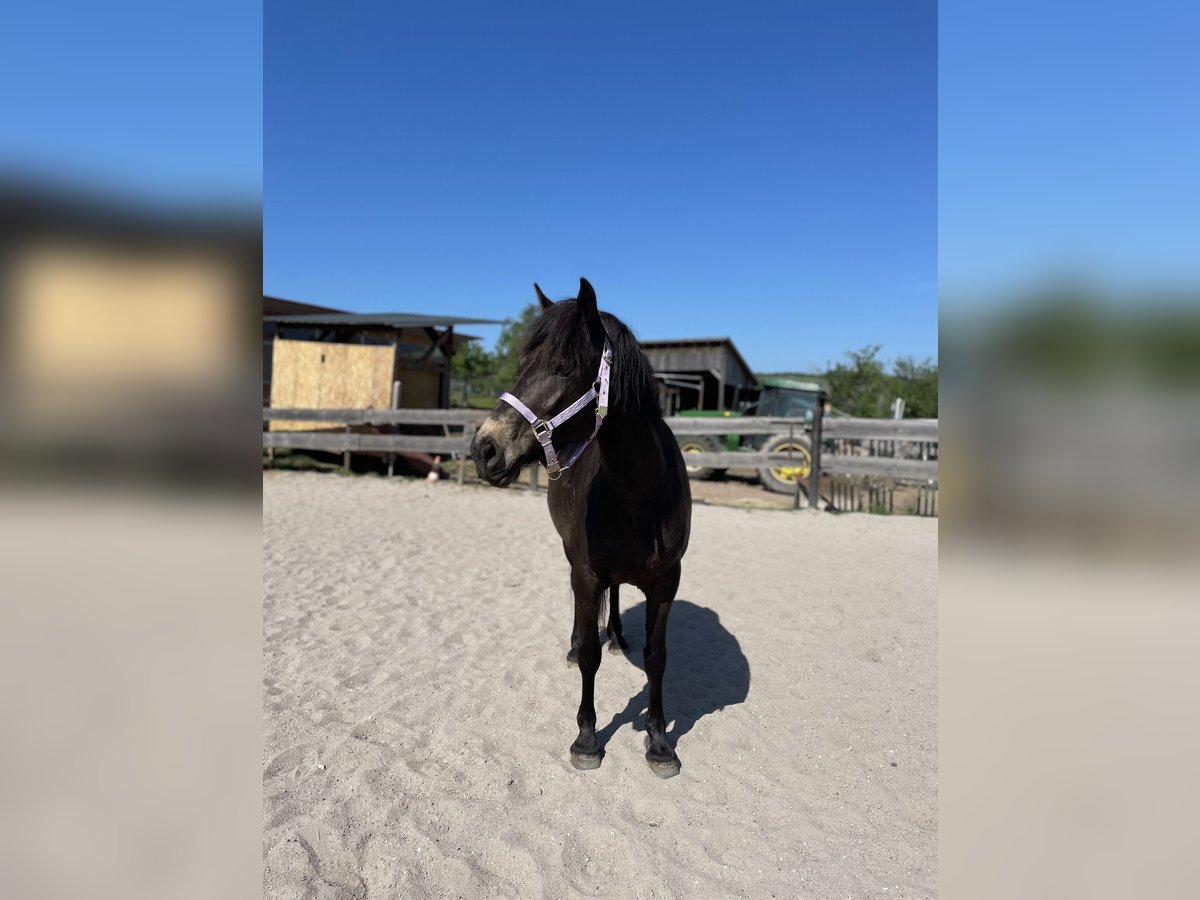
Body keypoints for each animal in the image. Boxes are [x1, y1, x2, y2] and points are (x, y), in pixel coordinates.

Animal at [470, 278, 696, 777]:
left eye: (563, 367)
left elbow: (657, 658)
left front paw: (659, 743)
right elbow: (590, 655)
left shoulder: (666, 582)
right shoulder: (587, 572)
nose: (484, 449)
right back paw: (578, 643)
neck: (640, 492)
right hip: (572, 558)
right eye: (522, 365)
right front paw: (587, 739)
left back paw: (617, 635)